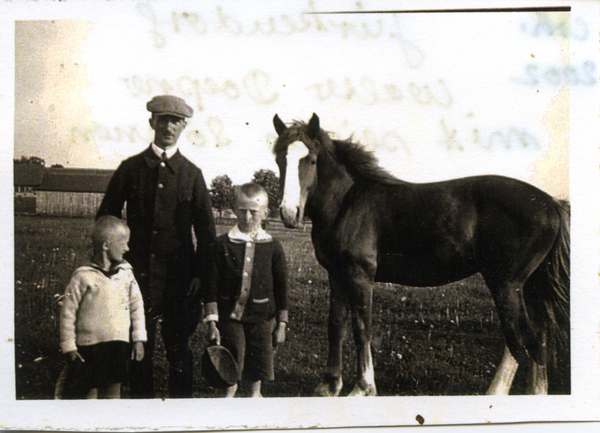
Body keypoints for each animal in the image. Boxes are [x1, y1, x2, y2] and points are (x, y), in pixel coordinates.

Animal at [274, 112, 568, 394]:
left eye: (311, 160)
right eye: (279, 158)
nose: (289, 213)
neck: (347, 203)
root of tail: (550, 202)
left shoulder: (360, 276)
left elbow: (361, 328)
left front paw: (363, 388)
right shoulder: (336, 274)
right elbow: (336, 325)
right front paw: (328, 386)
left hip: (506, 284)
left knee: (523, 342)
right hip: (526, 286)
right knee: (536, 338)